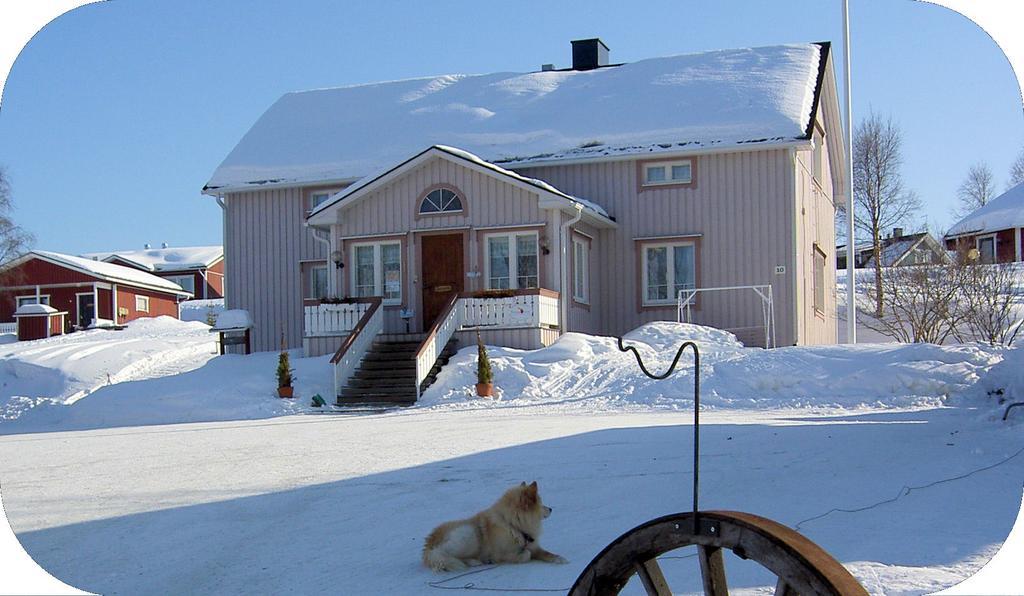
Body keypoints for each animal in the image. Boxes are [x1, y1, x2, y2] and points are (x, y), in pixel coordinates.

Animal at [421, 483, 569, 573]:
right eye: (541, 503)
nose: (551, 509)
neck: (513, 525)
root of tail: (430, 544)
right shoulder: (503, 553)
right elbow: (526, 554)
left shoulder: (533, 545)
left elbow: (546, 553)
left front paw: (559, 558)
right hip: (469, 534)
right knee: (450, 556)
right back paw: (474, 561)